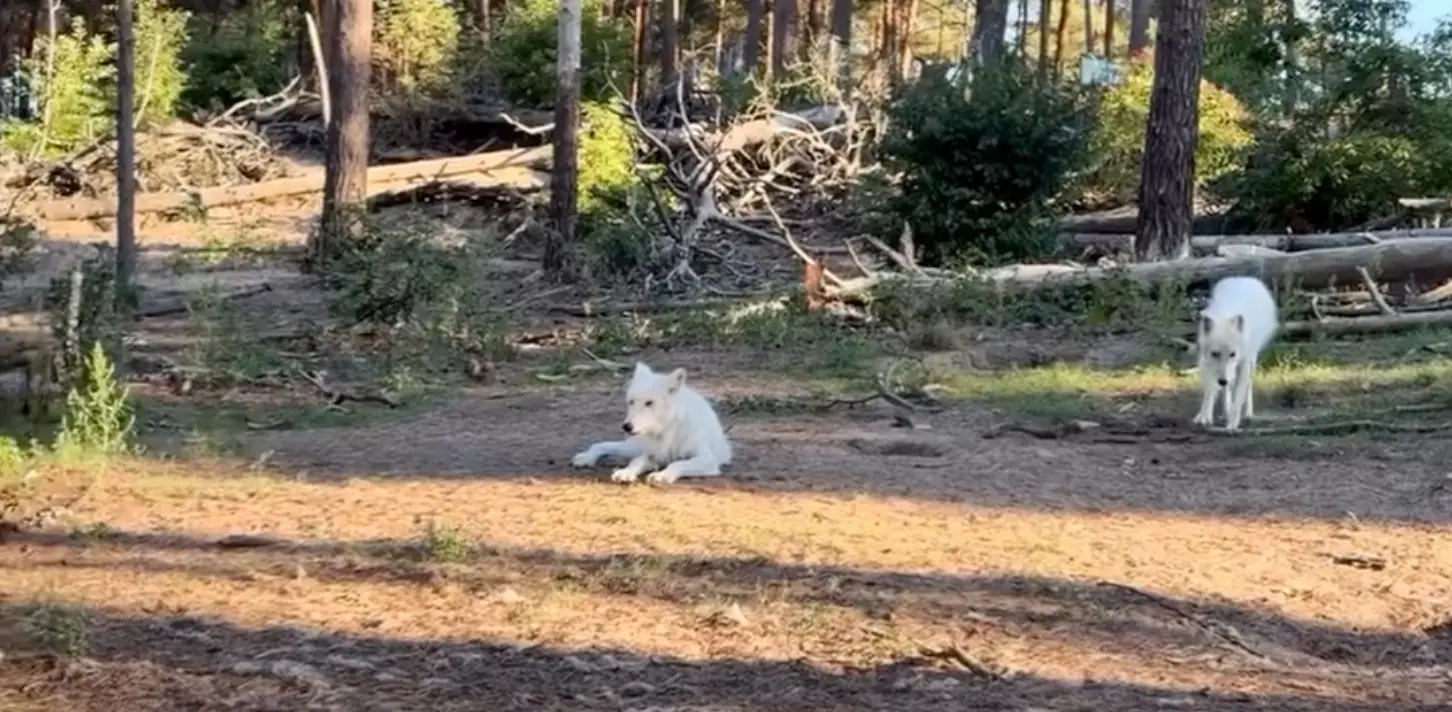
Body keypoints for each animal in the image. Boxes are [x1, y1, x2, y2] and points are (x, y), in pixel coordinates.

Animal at [571, 362, 733, 484]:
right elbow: (636, 462)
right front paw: (625, 472)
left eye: (649, 403)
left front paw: (662, 476)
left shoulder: (707, 459)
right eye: (631, 402)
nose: (626, 427)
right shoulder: (652, 455)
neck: (668, 432)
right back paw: (585, 457)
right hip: (633, 447)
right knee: (602, 445)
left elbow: (677, 463)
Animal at [1193, 276, 1279, 432]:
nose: (1222, 380)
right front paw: (1204, 416)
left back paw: (1247, 413)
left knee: (1247, 386)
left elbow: (1238, 396)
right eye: (1215, 354)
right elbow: (1209, 391)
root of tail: (1245, 278)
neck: (1226, 313)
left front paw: (1233, 423)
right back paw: (1225, 410)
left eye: (1233, 354)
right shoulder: (1207, 361)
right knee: (1229, 387)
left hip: (1252, 360)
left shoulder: (1243, 364)